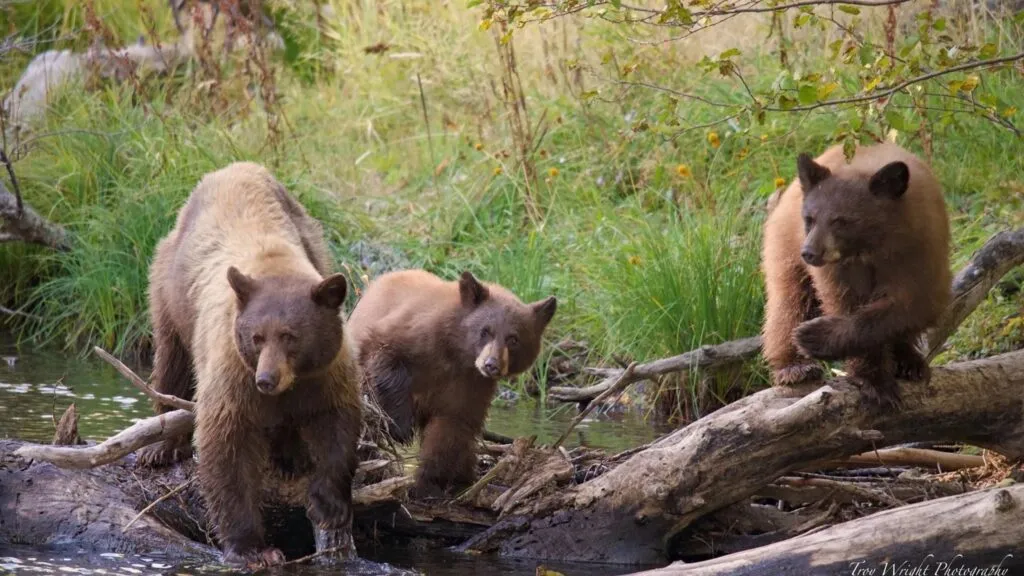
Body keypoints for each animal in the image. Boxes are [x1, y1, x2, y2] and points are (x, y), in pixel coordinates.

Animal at [137, 162, 362, 567]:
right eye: (257, 337)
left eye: (290, 336)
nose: (266, 379)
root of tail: (235, 167)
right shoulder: (233, 370)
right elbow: (227, 442)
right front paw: (252, 547)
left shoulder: (328, 372)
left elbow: (337, 426)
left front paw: (330, 505)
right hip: (169, 288)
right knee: (171, 358)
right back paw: (159, 446)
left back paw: (290, 456)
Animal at [346, 269, 556, 497]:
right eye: (485, 331)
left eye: (513, 339)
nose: (491, 365)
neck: (457, 353)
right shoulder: (414, 333)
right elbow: (384, 356)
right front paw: (401, 429)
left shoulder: (470, 384)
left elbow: (451, 425)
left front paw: (429, 484)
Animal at [761, 142, 952, 408]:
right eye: (810, 218)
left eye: (841, 220)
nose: (809, 252)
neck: (872, 248)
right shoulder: (839, 271)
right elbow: (845, 303)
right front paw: (875, 381)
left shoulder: (920, 252)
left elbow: (911, 306)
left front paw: (815, 336)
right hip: (785, 242)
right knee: (789, 302)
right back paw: (795, 367)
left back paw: (909, 360)